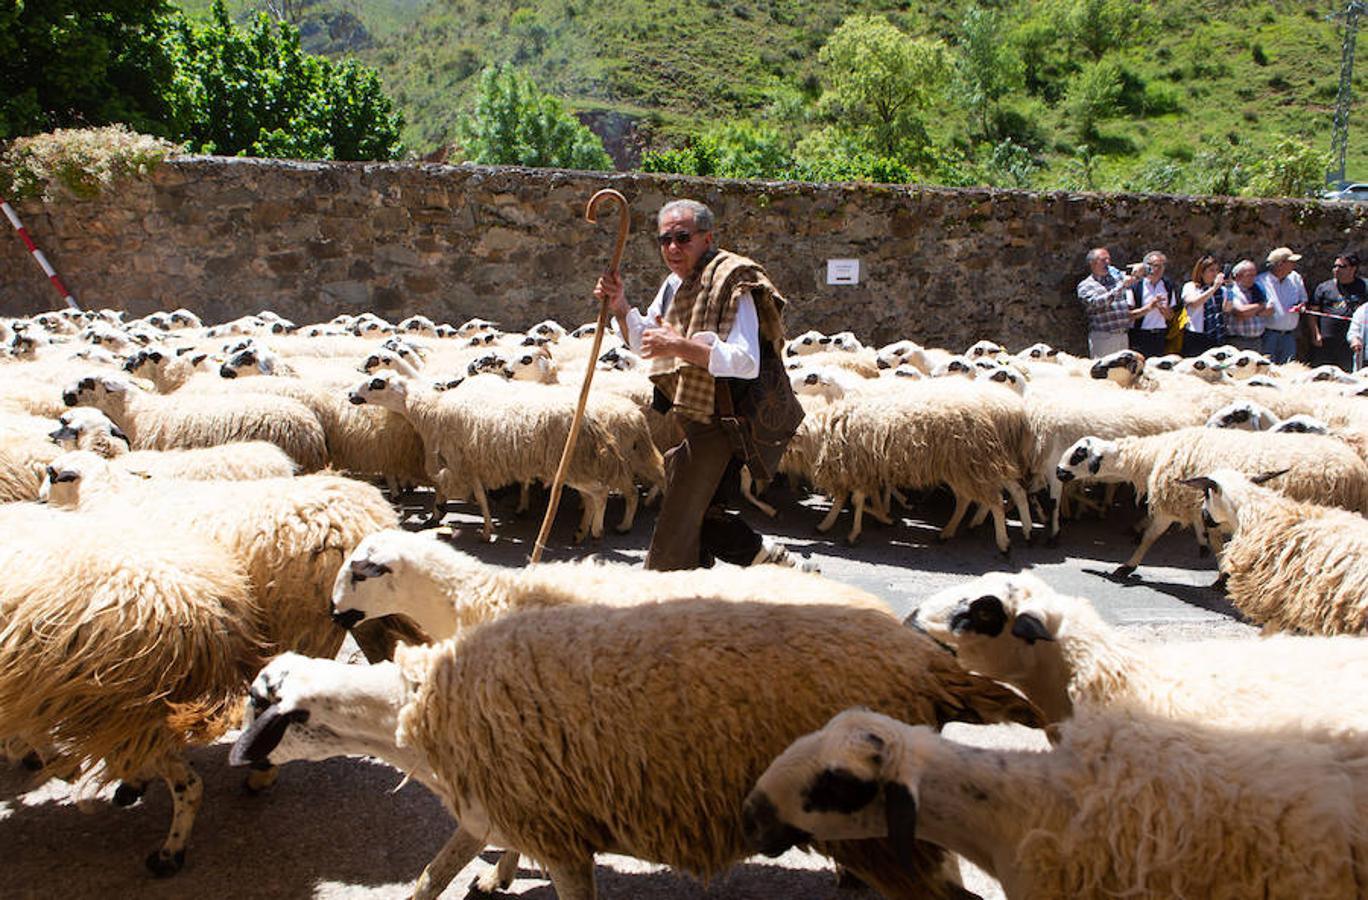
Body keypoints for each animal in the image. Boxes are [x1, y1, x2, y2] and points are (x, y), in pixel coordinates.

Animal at [235, 596, 1039, 897]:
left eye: (263, 706)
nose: (240, 762)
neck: (418, 708)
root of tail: (928, 666)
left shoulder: (557, 835)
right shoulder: (501, 809)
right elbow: (433, 876)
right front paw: (489, 878)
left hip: (881, 836)